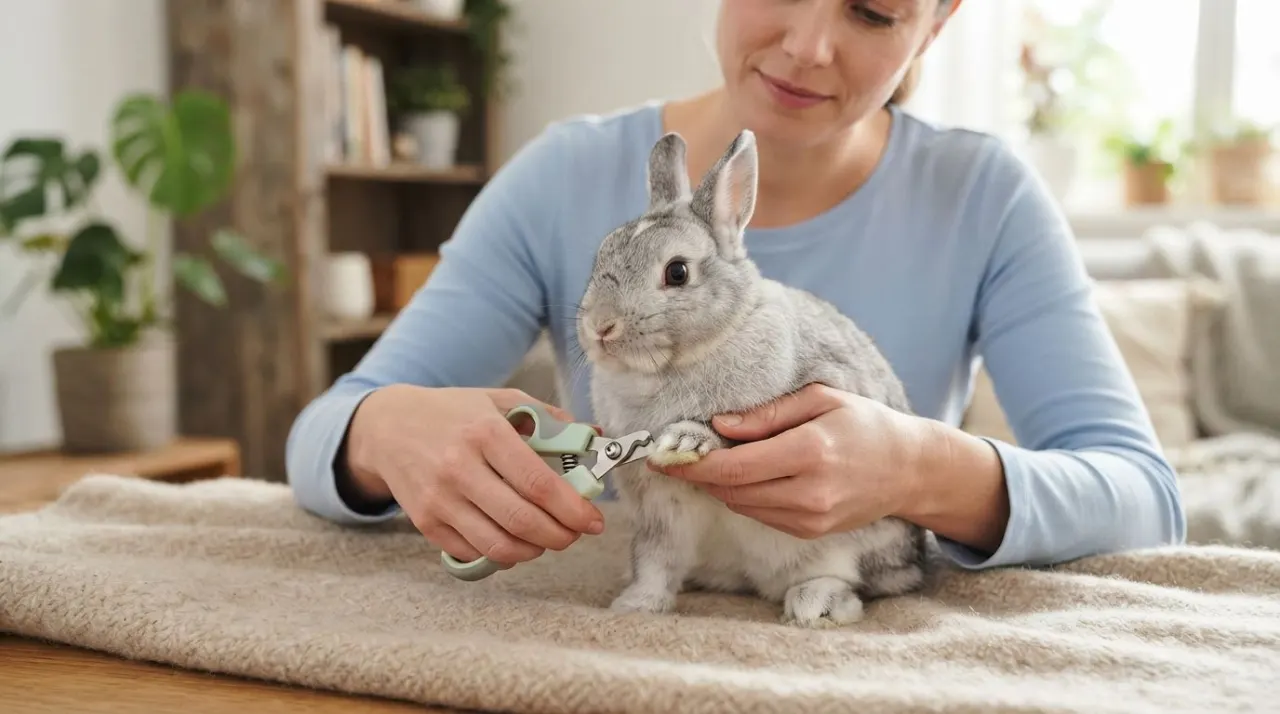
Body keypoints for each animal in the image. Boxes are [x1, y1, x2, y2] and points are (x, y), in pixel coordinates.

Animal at [575, 128, 930, 628]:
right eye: (603, 254)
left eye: (677, 272)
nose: (600, 327)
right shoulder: (659, 516)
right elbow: (655, 563)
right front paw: (637, 606)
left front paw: (683, 441)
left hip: (854, 542)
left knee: (852, 582)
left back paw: (814, 604)